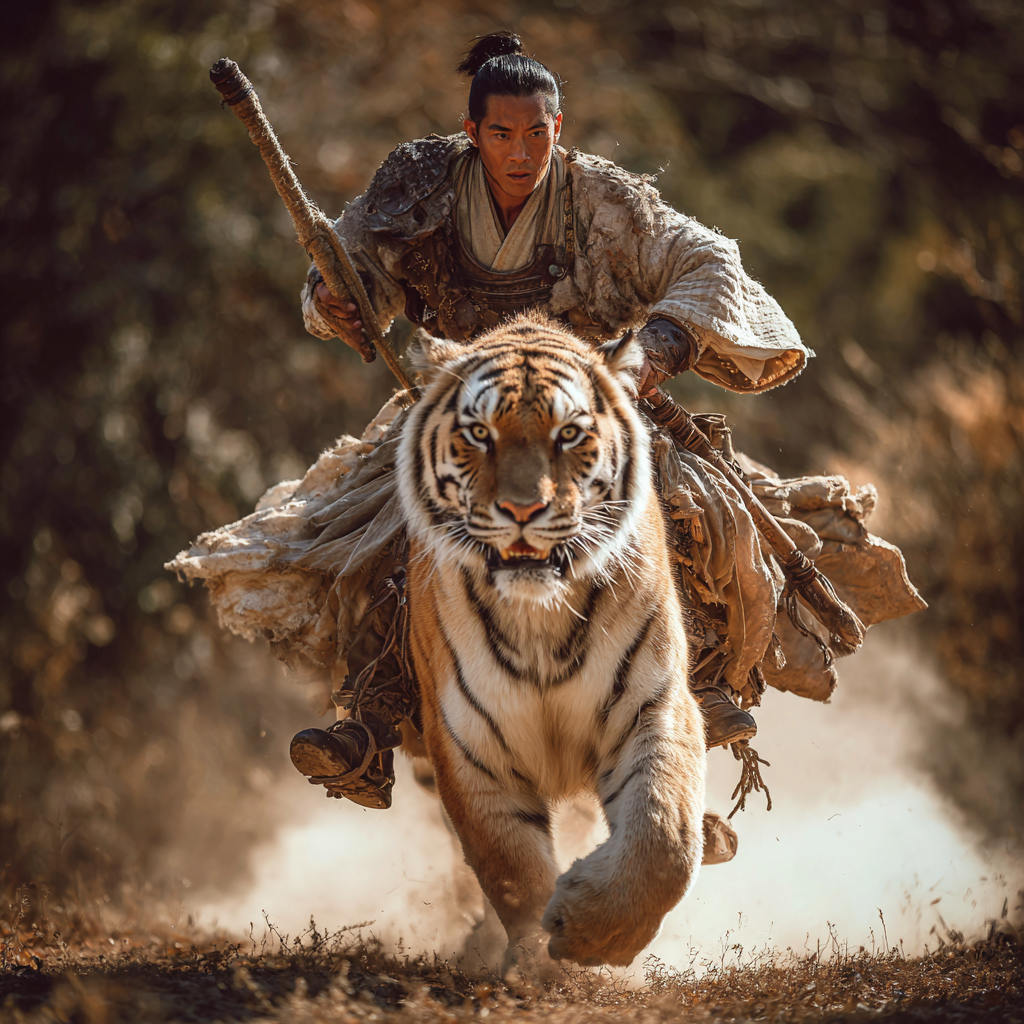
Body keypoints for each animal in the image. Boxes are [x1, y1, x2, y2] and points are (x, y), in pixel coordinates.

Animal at [396, 316, 707, 973]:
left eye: (569, 434)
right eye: (479, 434)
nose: (523, 510)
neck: (537, 615)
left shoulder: (654, 704)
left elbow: (664, 835)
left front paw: (593, 934)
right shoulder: (466, 740)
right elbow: (508, 866)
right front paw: (541, 966)